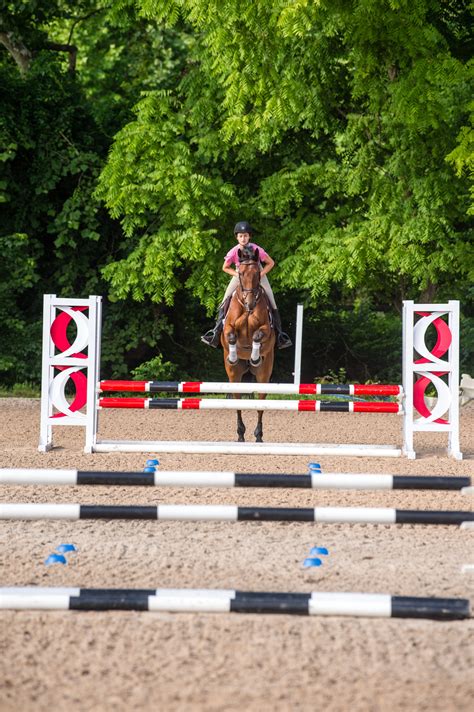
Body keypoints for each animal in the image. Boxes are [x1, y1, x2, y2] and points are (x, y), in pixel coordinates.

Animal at [220, 248, 276, 442]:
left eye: (258, 273)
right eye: (241, 273)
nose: (250, 303)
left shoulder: (266, 329)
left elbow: (258, 336)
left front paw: (255, 356)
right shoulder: (228, 327)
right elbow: (230, 337)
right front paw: (233, 356)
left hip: (263, 376)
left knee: (260, 404)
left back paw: (258, 436)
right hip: (234, 376)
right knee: (237, 403)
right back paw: (240, 435)